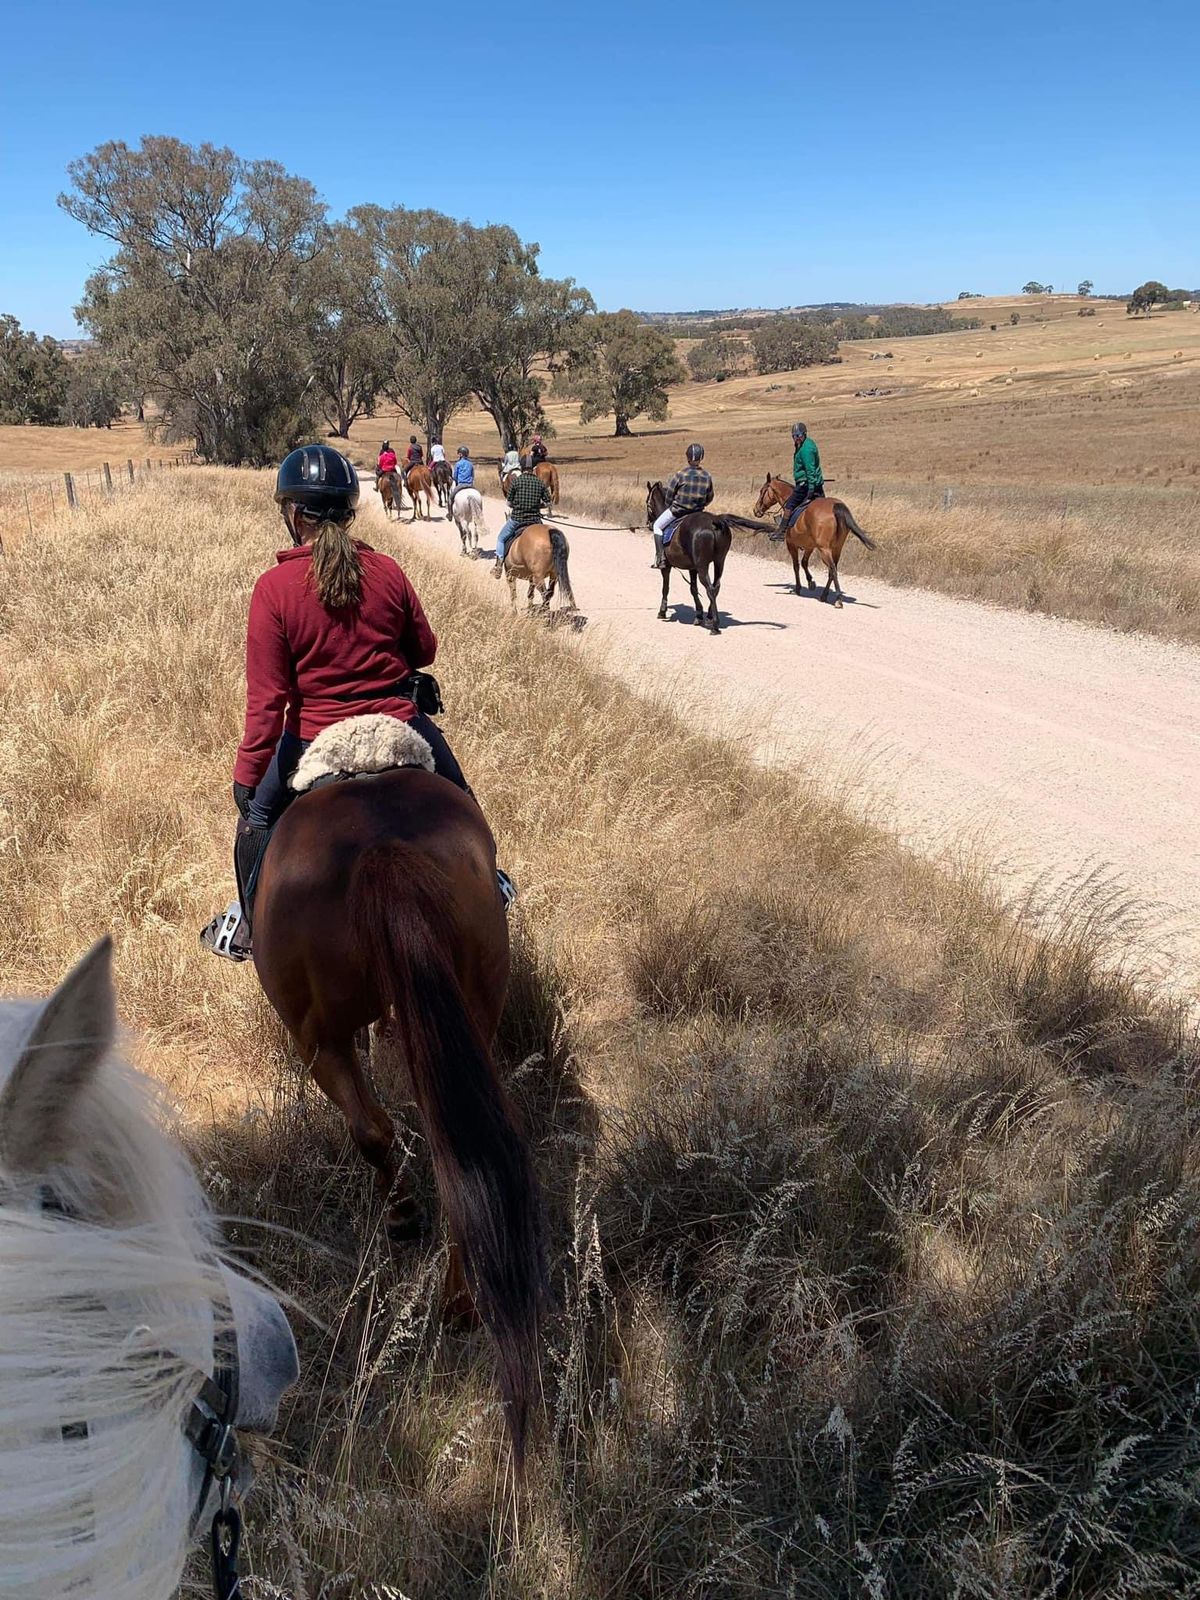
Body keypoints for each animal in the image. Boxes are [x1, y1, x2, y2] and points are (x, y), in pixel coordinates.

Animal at [259, 768, 550, 1465]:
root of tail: (379, 848)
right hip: (467, 1009)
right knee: (459, 1158)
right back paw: (462, 1302)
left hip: (318, 1035)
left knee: (371, 1129)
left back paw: (403, 1219)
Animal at [755, 473, 876, 604]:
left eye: (762, 491)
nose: (756, 510)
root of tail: (836, 506)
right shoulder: (809, 546)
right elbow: (804, 563)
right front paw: (810, 582)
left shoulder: (791, 545)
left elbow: (796, 565)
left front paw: (798, 587)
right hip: (837, 549)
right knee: (832, 570)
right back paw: (824, 595)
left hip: (824, 550)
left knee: (832, 569)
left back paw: (838, 599)